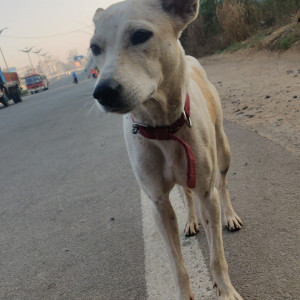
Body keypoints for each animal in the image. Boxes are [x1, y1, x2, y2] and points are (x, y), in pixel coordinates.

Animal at [91, 1, 244, 298]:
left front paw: (226, 290)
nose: (102, 92)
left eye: (140, 35)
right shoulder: (158, 204)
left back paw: (230, 216)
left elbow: (217, 256)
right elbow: (177, 266)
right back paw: (190, 220)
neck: (162, 127)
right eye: (94, 48)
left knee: (223, 183)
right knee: (185, 193)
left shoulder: (207, 194)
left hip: (223, 150)